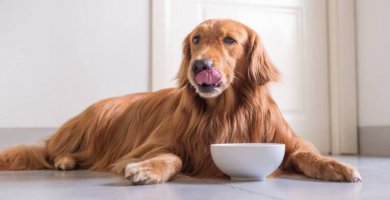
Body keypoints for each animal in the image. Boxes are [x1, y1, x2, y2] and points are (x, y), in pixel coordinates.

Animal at [0, 19, 362, 184]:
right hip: (98, 117)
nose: (199, 65)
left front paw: (340, 166)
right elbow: (170, 156)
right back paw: (64, 160)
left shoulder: (286, 141)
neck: (225, 112)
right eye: (196, 39)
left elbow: (308, 155)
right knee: (52, 151)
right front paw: (147, 169)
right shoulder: (152, 145)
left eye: (229, 40)